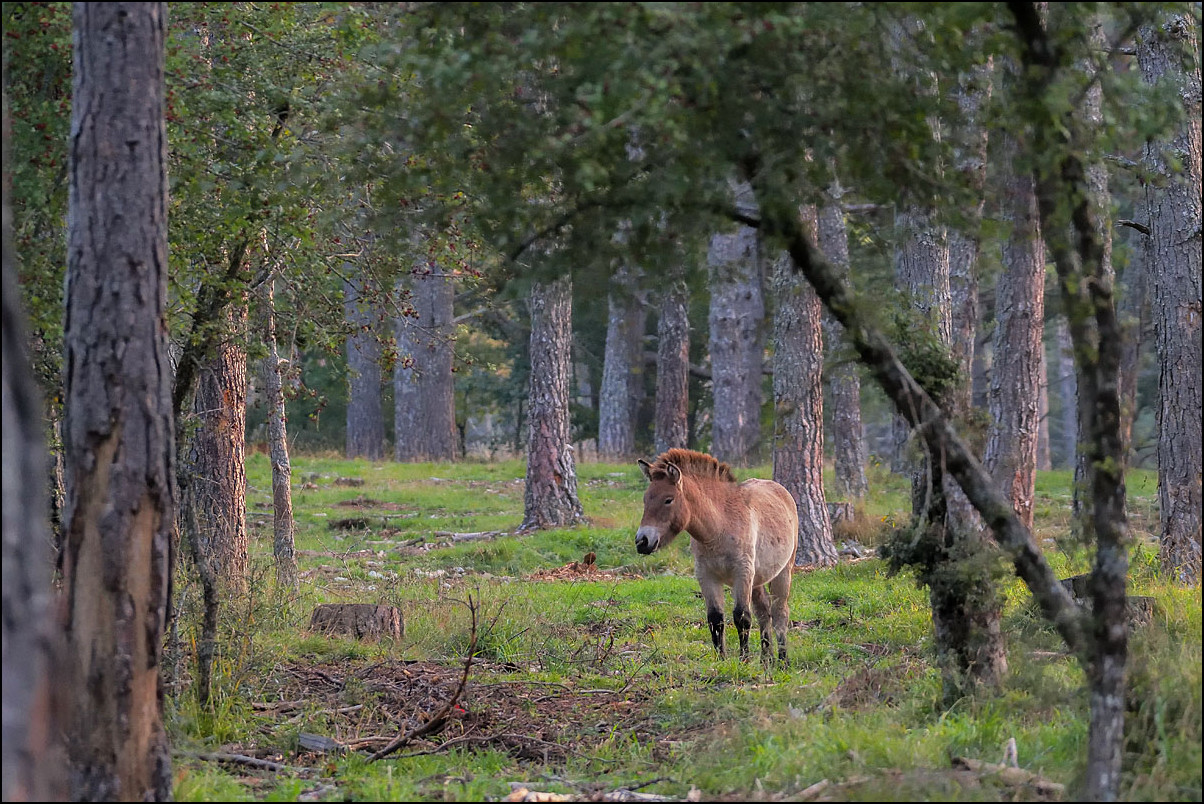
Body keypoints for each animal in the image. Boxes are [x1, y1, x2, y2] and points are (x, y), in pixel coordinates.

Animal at [635, 450, 794, 664]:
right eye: (645, 500)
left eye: (668, 500)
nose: (642, 541)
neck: (720, 526)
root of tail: (781, 491)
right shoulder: (707, 575)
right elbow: (715, 619)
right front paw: (721, 661)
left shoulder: (742, 573)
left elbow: (742, 617)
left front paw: (743, 661)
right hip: (758, 580)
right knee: (763, 612)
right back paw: (765, 660)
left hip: (783, 572)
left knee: (779, 613)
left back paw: (783, 660)